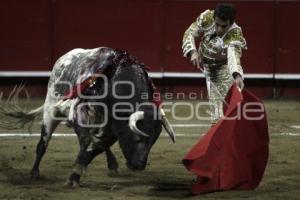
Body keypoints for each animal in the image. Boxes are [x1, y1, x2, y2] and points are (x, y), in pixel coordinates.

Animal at [0, 47, 175, 187]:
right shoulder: (78, 114)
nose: (138, 166)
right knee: (43, 143)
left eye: (153, 142)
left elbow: (97, 147)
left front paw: (76, 173)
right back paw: (34, 172)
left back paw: (112, 165)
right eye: (138, 138)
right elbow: (87, 141)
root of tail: (63, 58)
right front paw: (74, 176)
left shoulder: (113, 129)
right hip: (50, 109)